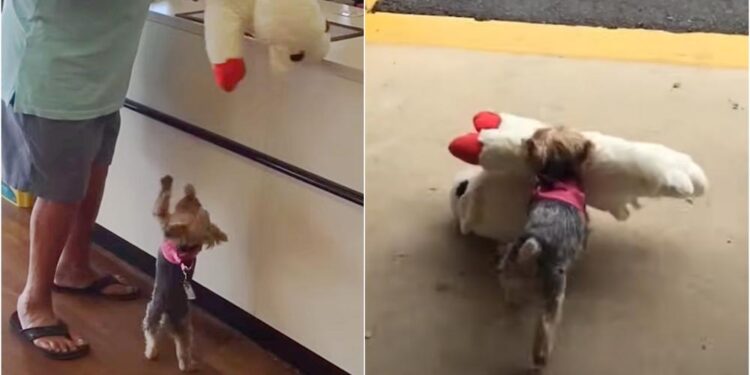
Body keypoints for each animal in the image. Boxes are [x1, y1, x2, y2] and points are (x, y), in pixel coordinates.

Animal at [142, 175, 228, 372]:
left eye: (195, 202)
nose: (192, 195)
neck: (184, 247)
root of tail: (168, 310)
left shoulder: (165, 219)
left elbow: (161, 205)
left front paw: (167, 183)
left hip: (152, 312)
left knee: (151, 334)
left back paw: (152, 353)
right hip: (183, 325)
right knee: (183, 347)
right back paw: (186, 364)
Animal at [500, 127, 592, 374]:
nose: (526, 141)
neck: (557, 177)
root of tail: (535, 244)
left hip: (511, 265)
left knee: (511, 289)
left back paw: (513, 302)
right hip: (554, 288)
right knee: (546, 324)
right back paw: (540, 360)